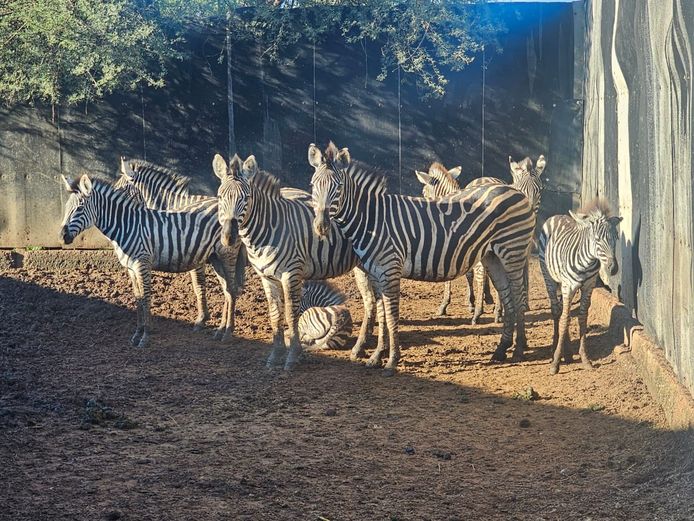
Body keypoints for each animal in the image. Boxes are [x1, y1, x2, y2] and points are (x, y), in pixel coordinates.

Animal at [60, 174, 243, 348]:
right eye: (66, 208)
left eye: (79, 208)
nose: (62, 236)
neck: (127, 226)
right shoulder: (131, 269)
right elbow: (138, 298)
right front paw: (137, 334)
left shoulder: (142, 264)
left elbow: (146, 298)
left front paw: (145, 337)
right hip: (215, 257)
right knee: (227, 290)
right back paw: (220, 331)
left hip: (227, 254)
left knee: (232, 290)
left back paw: (227, 332)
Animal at [114, 158, 245, 334]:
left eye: (120, 190)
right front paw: (204, 318)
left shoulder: (195, 255)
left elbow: (198, 286)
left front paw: (201, 319)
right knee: (229, 289)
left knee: (231, 288)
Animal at [214, 153, 384, 371]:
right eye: (220, 197)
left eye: (246, 198)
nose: (229, 237)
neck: (269, 228)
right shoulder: (267, 278)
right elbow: (275, 315)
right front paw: (274, 356)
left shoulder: (291, 274)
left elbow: (291, 314)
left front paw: (292, 356)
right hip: (361, 267)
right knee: (371, 301)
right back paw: (359, 348)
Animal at [310, 142, 536, 375]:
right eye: (313, 185)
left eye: (338, 187)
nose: (321, 226)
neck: (371, 219)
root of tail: (516, 191)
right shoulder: (375, 273)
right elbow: (381, 315)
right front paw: (376, 356)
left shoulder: (390, 269)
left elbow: (391, 316)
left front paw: (391, 360)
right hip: (493, 257)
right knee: (508, 297)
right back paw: (501, 350)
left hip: (512, 251)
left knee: (518, 297)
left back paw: (519, 349)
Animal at [539, 199, 622, 375]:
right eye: (597, 239)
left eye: (616, 238)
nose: (613, 268)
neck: (587, 262)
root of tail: (557, 215)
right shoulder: (568, 287)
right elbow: (564, 319)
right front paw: (555, 362)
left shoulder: (589, 287)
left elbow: (582, 318)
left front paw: (584, 359)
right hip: (549, 278)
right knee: (557, 311)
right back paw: (555, 348)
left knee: (562, 311)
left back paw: (568, 353)